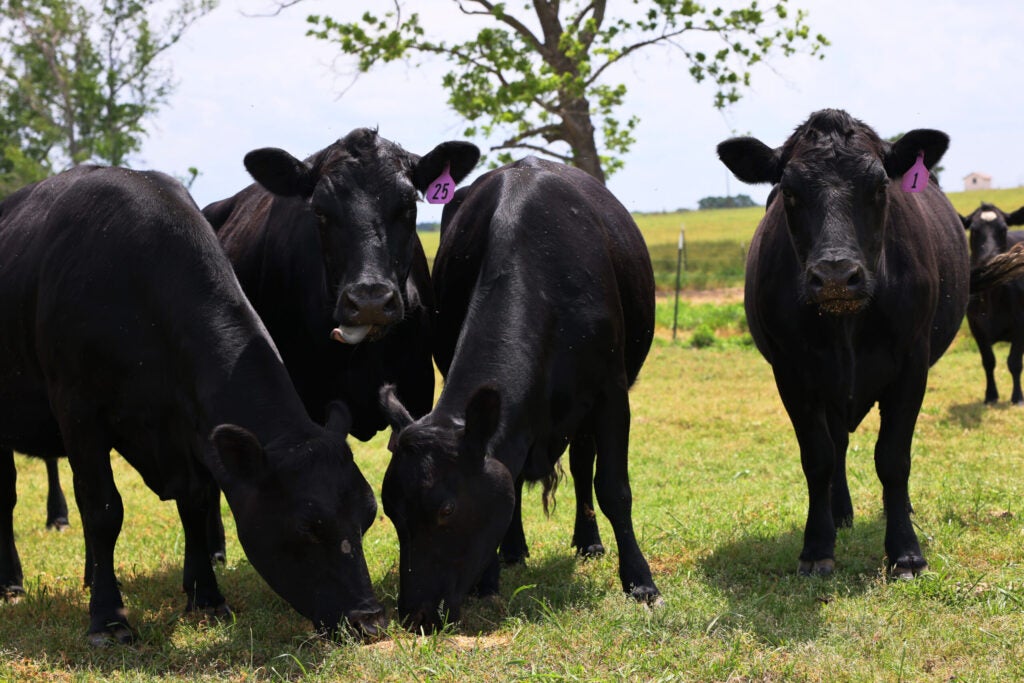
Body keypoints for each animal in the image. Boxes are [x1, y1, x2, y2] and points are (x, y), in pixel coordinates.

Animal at [0, 166, 385, 647]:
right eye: (306, 526)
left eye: (369, 516)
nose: (369, 619)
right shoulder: (78, 410)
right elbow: (103, 508)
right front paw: (108, 619)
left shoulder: (191, 425)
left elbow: (197, 503)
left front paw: (206, 597)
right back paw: (11, 582)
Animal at [380, 157, 659, 634]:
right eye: (392, 513)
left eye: (446, 510)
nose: (416, 616)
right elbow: (504, 481)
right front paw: (490, 578)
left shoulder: (611, 393)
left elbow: (613, 488)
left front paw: (640, 581)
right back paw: (513, 552)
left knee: (583, 466)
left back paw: (588, 541)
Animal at [716, 109, 970, 581]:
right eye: (789, 191)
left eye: (881, 186)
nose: (835, 275)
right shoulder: (792, 373)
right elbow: (818, 458)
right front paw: (818, 546)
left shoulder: (912, 364)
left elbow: (893, 458)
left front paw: (905, 551)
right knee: (837, 447)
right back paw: (839, 513)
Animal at [958, 202, 1024, 405]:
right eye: (974, 230)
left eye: (1004, 229)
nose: (990, 259)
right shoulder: (975, 327)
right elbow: (988, 361)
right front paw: (991, 395)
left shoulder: (1020, 326)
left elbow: (1015, 362)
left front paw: (1017, 397)